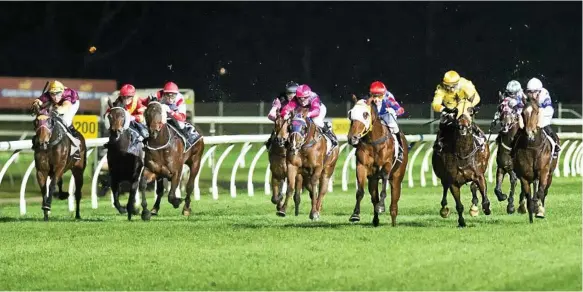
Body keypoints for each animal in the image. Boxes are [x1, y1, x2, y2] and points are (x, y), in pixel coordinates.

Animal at [350, 97, 408, 227]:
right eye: (350, 113)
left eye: (365, 114)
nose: (352, 138)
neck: (374, 142)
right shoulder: (361, 166)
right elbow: (360, 192)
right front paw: (355, 214)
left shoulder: (386, 166)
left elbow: (384, 192)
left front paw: (381, 206)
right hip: (373, 179)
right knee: (374, 198)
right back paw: (375, 220)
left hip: (397, 177)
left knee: (394, 201)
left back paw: (393, 222)